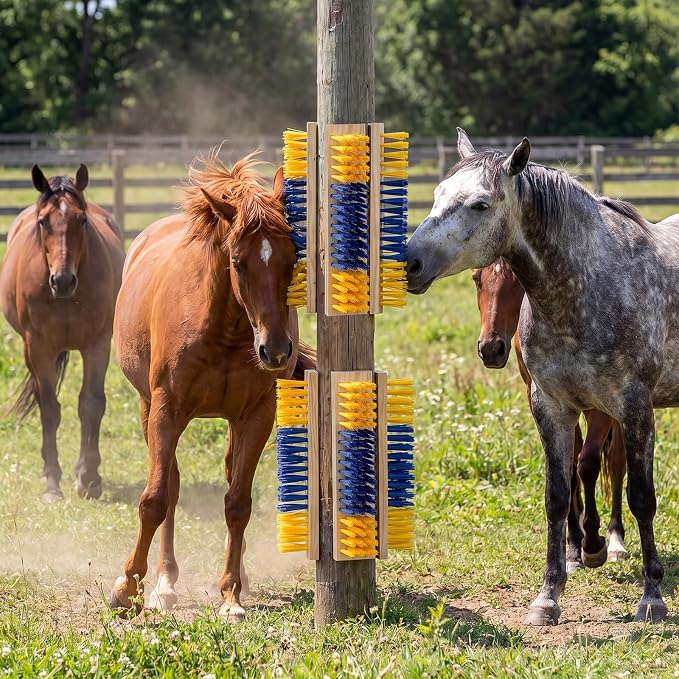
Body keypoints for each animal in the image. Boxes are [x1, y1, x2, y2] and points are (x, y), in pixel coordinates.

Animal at [0, 165, 124, 502]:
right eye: (43, 221)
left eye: (81, 220)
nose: (63, 281)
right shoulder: (38, 347)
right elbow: (49, 409)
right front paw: (52, 483)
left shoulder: (98, 344)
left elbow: (91, 404)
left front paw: (89, 478)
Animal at [109, 152, 314, 620]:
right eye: (237, 262)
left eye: (292, 259)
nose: (276, 351)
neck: (224, 329)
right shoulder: (166, 409)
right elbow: (155, 499)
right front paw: (128, 588)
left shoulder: (256, 416)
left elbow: (238, 503)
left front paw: (231, 594)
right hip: (148, 407)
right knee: (171, 487)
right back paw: (164, 583)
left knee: (227, 477)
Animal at [472, 259, 628, 570]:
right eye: (475, 278)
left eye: (518, 280)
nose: (490, 349)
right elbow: (569, 468)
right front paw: (574, 547)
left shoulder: (601, 405)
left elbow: (587, 464)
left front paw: (593, 545)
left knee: (617, 462)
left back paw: (616, 539)